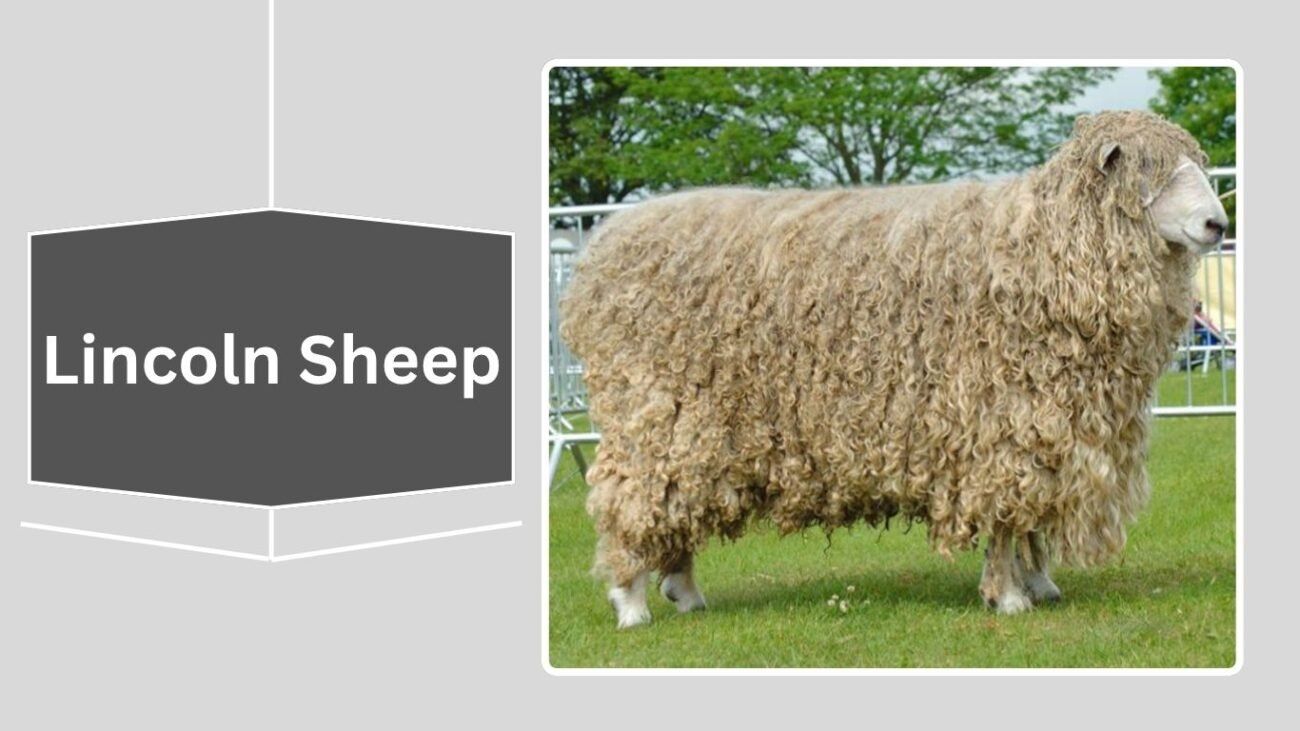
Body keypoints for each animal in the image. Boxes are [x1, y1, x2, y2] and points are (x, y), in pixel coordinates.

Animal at [559, 111, 1229, 628]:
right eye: (1151, 171)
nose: (1217, 223)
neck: (1047, 250)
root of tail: (598, 252)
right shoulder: (998, 421)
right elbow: (1004, 516)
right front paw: (1009, 596)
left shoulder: (1047, 425)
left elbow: (1030, 514)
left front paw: (1039, 582)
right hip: (650, 411)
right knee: (630, 501)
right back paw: (631, 604)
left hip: (690, 432)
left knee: (673, 505)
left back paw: (685, 591)